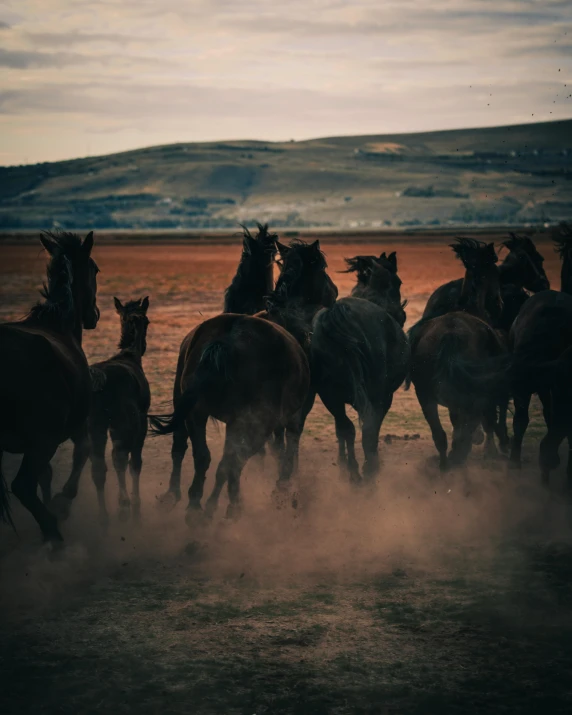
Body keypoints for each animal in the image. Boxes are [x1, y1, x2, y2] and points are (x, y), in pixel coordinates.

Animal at [0, 231, 99, 544]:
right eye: (95, 269)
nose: (94, 316)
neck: (59, 325)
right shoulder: (73, 427)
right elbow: (82, 453)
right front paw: (61, 504)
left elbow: (46, 475)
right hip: (43, 440)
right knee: (21, 486)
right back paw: (53, 535)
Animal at [408, 239, 508, 470]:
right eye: (496, 273)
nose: (499, 305)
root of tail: (450, 333)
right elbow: (486, 423)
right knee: (463, 438)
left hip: (426, 396)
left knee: (442, 437)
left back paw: (446, 468)